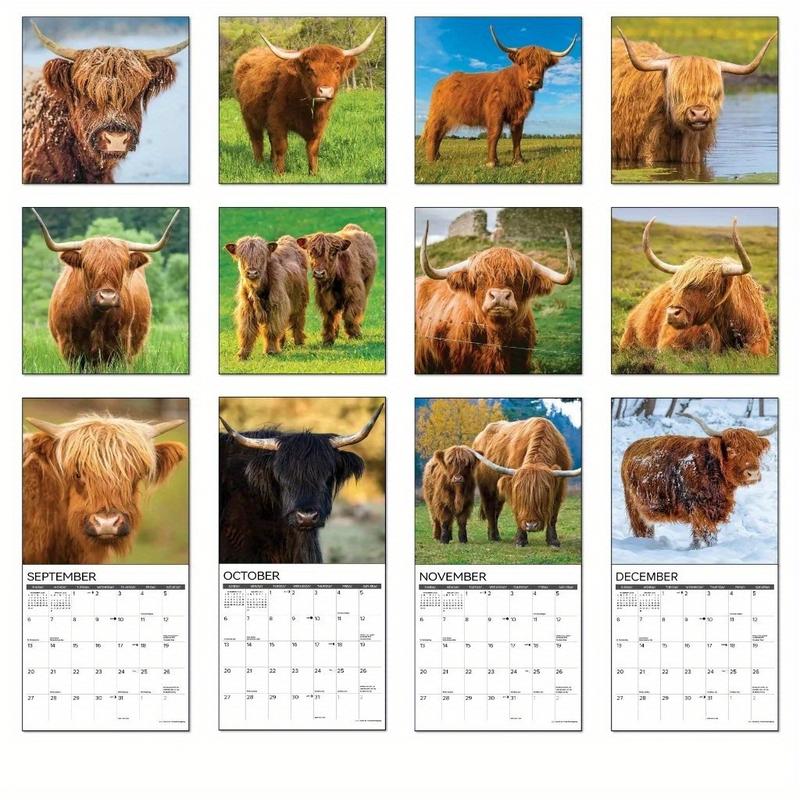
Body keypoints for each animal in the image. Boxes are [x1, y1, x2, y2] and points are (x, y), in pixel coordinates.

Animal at [31, 207, 180, 368]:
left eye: (122, 266)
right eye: (87, 265)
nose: (107, 298)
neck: (96, 318)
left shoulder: (120, 348)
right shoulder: (70, 348)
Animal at [233, 26, 379, 175]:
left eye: (337, 67)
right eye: (309, 69)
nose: (325, 91)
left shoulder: (319, 125)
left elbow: (312, 149)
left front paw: (313, 173)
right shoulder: (277, 121)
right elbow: (281, 147)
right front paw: (279, 173)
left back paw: (269, 162)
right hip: (249, 117)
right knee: (257, 140)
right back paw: (259, 164)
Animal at [421, 26, 577, 167]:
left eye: (544, 64)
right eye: (522, 62)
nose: (533, 82)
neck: (518, 92)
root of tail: (444, 80)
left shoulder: (519, 116)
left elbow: (517, 136)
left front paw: (518, 160)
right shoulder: (495, 111)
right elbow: (495, 133)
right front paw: (492, 162)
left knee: (440, 135)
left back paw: (438, 156)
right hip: (438, 115)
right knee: (434, 134)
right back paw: (431, 159)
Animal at [468, 417, 580, 548]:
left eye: (543, 496)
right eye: (522, 497)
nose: (531, 525)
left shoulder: (559, 488)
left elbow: (553, 515)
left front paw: (553, 541)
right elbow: (518, 512)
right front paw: (520, 540)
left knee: (497, 509)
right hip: (487, 487)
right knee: (490, 509)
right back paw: (493, 536)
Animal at [621, 412, 776, 548]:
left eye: (756, 451)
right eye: (731, 450)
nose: (753, 473)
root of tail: (632, 446)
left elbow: (697, 535)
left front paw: (694, 548)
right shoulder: (699, 509)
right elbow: (709, 535)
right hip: (634, 507)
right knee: (642, 530)